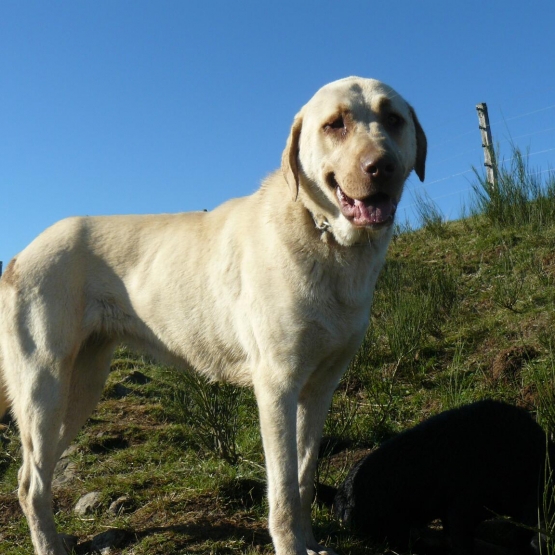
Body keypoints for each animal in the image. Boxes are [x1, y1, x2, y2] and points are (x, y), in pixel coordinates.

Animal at [0, 78, 426, 555]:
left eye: (393, 119)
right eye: (335, 124)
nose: (382, 166)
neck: (326, 238)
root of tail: (21, 253)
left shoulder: (318, 389)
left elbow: (303, 480)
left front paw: (309, 542)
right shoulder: (277, 386)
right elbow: (283, 489)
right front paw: (290, 546)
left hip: (82, 386)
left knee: (36, 473)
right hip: (44, 387)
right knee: (29, 483)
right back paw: (48, 544)